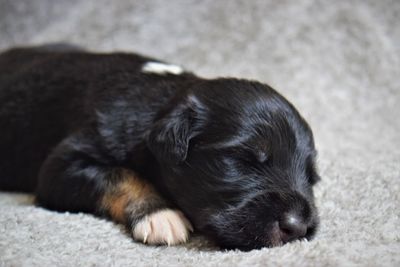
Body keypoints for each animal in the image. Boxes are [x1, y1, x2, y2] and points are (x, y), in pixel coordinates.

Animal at [0, 44, 318, 251]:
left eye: (311, 177)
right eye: (243, 161)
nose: (298, 227)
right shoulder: (64, 163)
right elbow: (120, 174)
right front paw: (160, 214)